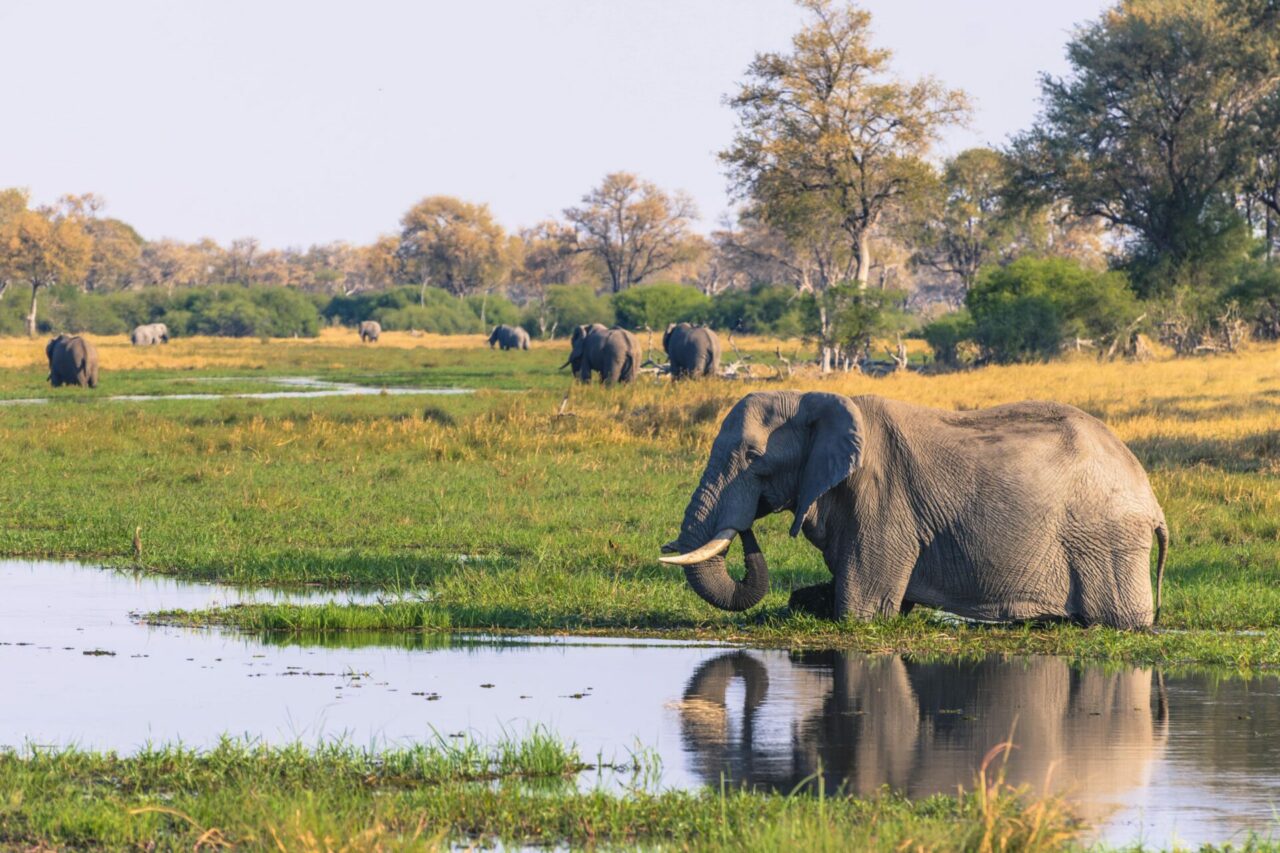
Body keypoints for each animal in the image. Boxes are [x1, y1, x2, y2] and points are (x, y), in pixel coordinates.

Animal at [665, 389, 1167, 625]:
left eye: (753, 457)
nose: (747, 526)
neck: (817, 399)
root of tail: (1152, 500)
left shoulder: (885, 499)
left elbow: (861, 611)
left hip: (1107, 541)